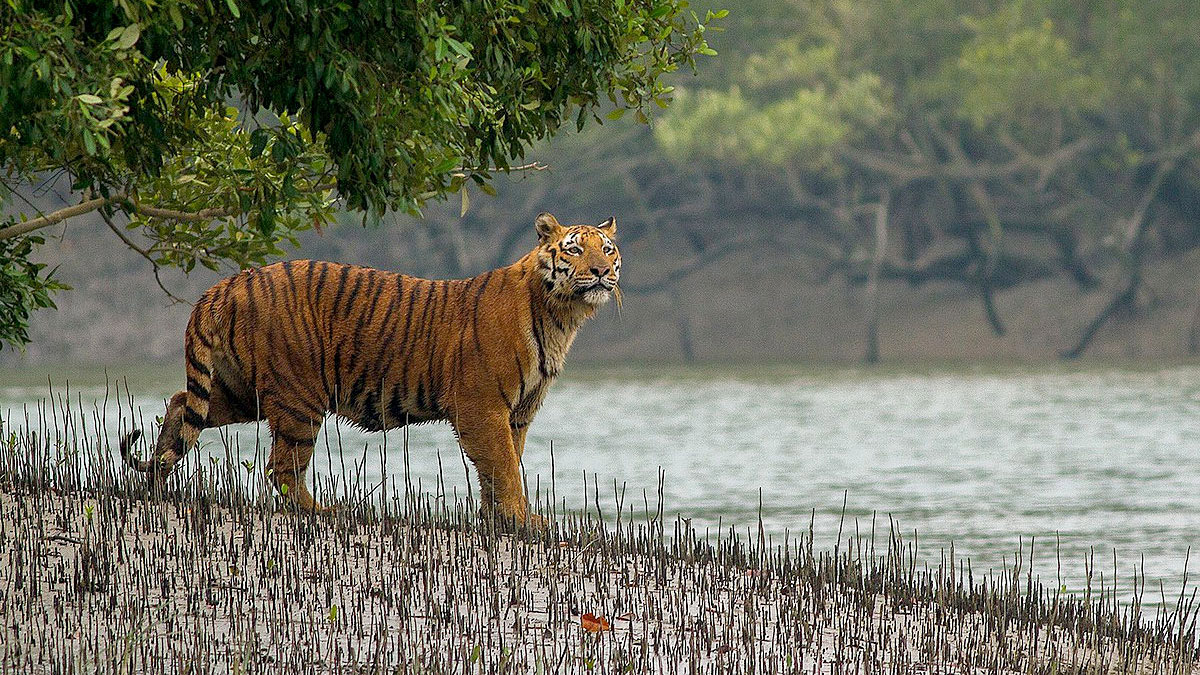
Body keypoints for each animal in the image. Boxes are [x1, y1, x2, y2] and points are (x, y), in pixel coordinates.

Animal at [120, 212, 619, 523]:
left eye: (608, 250)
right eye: (574, 250)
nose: (600, 272)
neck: (561, 315)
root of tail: (227, 283)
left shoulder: (518, 412)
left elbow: (504, 465)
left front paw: (499, 519)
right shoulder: (483, 406)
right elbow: (504, 466)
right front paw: (523, 520)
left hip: (243, 390)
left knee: (181, 404)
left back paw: (157, 480)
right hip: (299, 398)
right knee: (282, 469)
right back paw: (322, 512)